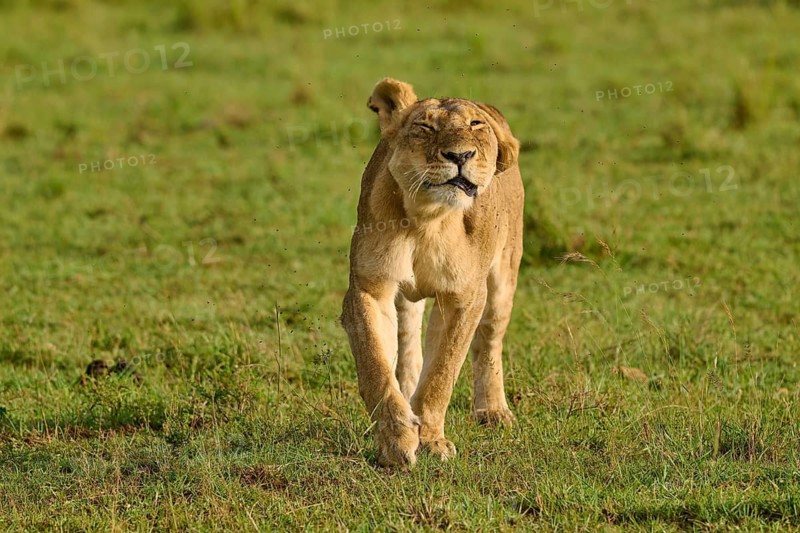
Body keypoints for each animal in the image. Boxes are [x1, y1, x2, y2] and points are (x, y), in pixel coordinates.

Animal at [341, 78, 523, 468]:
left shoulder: (464, 298)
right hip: (407, 301)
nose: (460, 156)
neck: (427, 220)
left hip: (503, 276)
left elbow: (442, 371)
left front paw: (431, 440)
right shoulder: (369, 289)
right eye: (425, 127)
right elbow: (376, 366)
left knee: (489, 342)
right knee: (409, 346)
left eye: (475, 125)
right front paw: (397, 439)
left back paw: (493, 411)